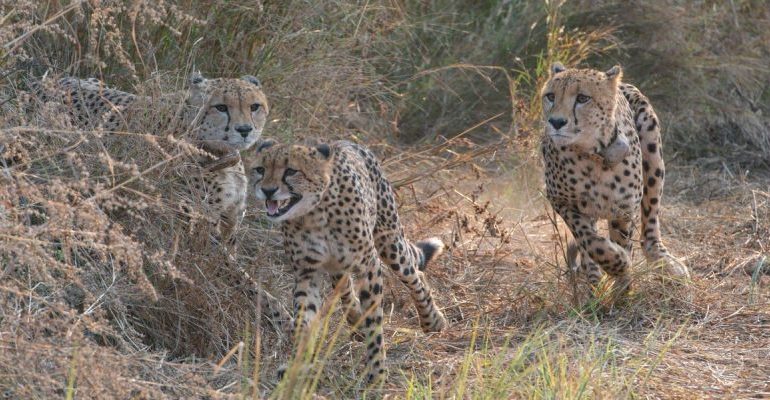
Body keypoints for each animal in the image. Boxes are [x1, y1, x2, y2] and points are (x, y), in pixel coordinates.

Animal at [244, 139, 448, 385]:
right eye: (260, 169)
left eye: (291, 171)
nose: (267, 190)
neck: (314, 214)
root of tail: (348, 142)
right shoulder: (306, 272)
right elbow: (304, 318)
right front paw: (297, 365)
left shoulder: (369, 266)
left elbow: (374, 322)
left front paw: (377, 373)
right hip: (339, 265)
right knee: (345, 290)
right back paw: (356, 320)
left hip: (390, 242)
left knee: (415, 275)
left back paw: (432, 321)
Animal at [540, 62, 689, 295]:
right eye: (550, 96)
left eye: (582, 98)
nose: (556, 122)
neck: (592, 155)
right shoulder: (560, 201)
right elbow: (589, 238)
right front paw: (615, 264)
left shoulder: (623, 209)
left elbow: (622, 240)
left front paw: (622, 287)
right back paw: (593, 279)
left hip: (652, 150)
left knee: (649, 227)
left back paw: (665, 262)